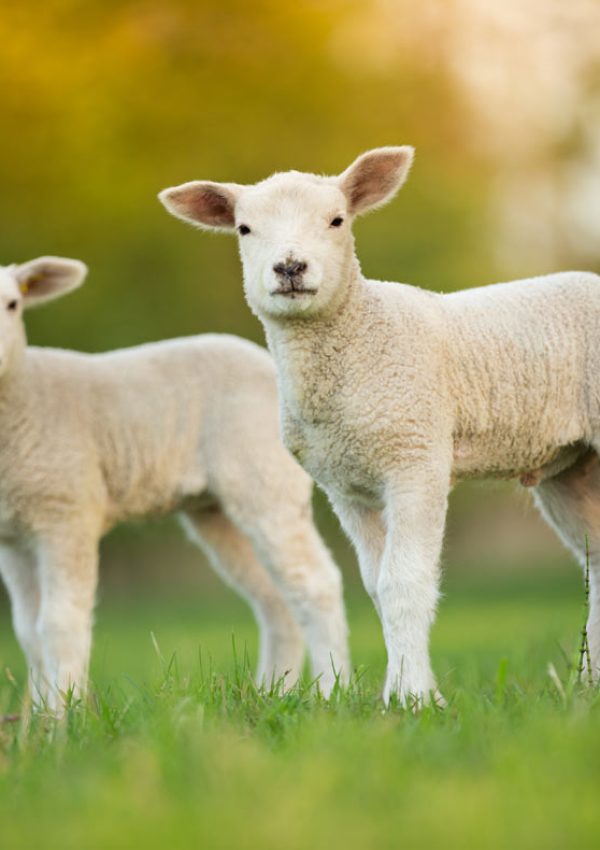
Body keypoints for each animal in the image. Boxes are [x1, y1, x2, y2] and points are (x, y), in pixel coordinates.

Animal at [0, 256, 349, 710]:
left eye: (13, 304)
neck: (25, 394)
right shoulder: (14, 534)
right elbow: (28, 631)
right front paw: (39, 718)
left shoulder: (67, 510)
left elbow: (59, 624)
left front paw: (65, 715)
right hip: (216, 509)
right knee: (275, 599)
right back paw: (273, 692)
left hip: (265, 477)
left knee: (316, 585)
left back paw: (332, 691)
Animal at [160, 146, 600, 706]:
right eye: (244, 228)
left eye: (336, 220)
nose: (290, 267)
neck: (361, 336)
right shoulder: (346, 485)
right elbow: (374, 584)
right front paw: (395, 693)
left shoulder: (415, 458)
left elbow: (403, 583)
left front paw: (415, 698)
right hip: (572, 467)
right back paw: (590, 684)